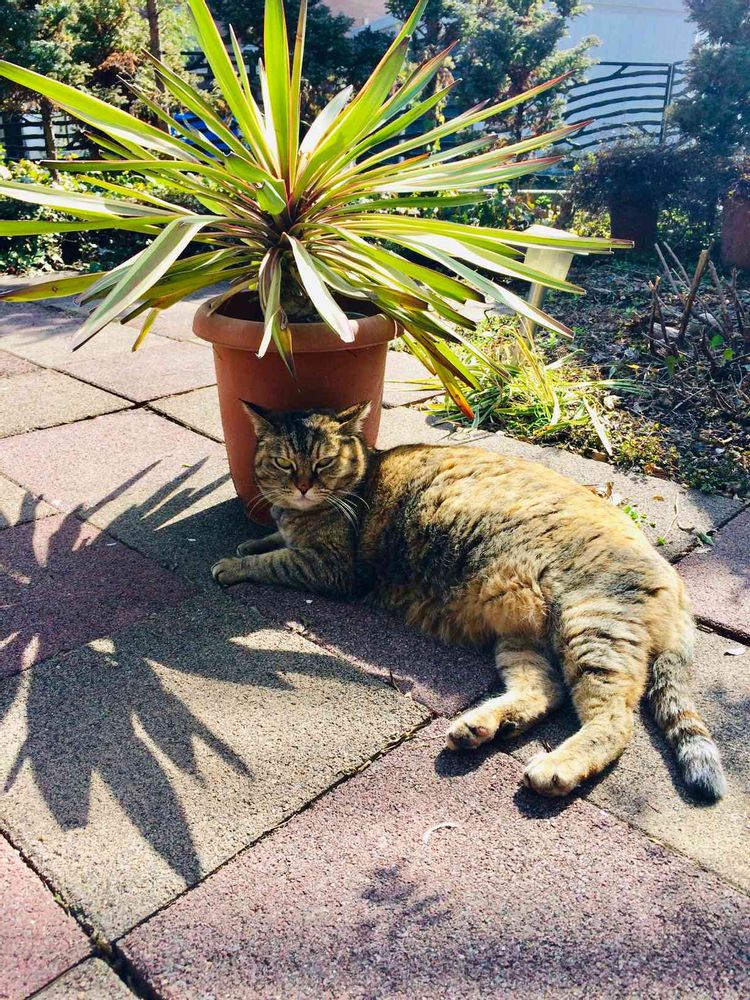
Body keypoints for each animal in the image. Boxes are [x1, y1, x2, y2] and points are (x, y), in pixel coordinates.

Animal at [212, 401, 726, 801]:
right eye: (284, 464)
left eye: (322, 464)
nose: (301, 486)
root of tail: (677, 584)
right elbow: (271, 539)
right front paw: (250, 541)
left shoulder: (329, 568)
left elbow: (275, 560)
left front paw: (233, 563)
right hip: (525, 636)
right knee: (546, 690)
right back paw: (486, 726)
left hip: (591, 628)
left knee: (614, 720)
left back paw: (554, 767)